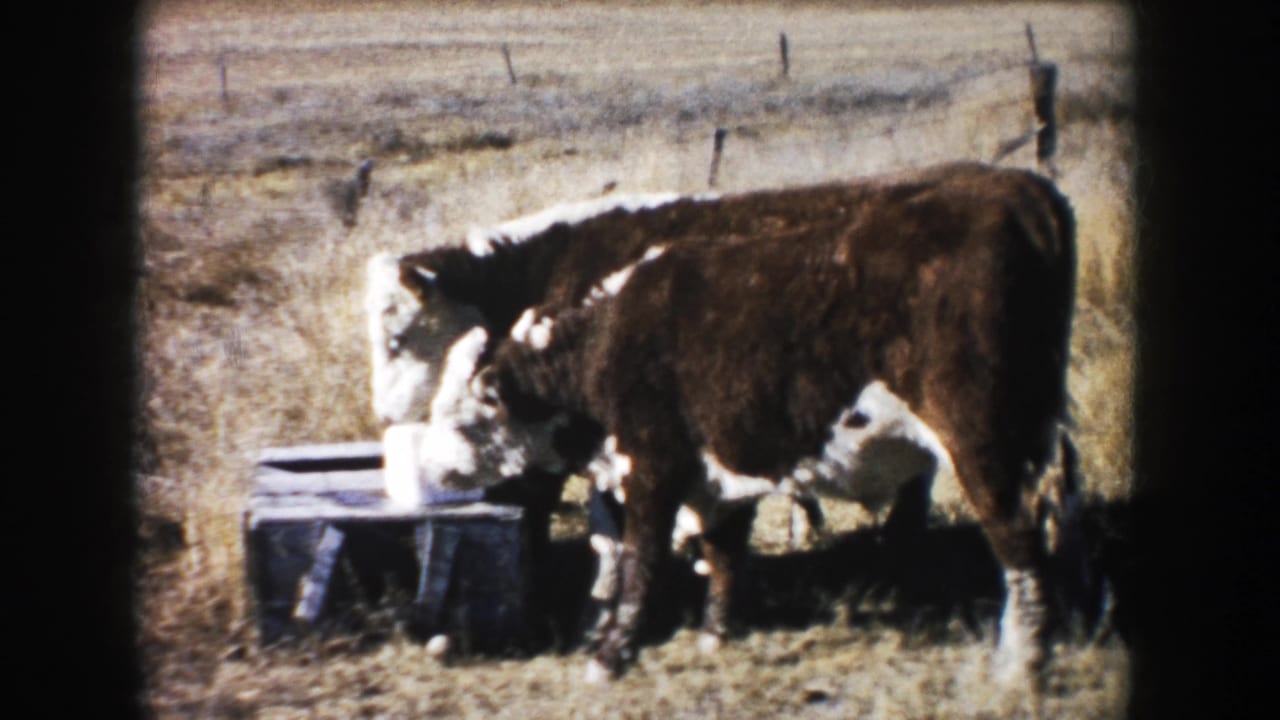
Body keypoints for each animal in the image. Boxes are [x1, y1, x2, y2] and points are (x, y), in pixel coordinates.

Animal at [400, 161, 1099, 687]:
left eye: (465, 411)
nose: (426, 466)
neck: (609, 338)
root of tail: (1026, 192)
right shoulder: (716, 476)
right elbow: (721, 553)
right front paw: (714, 634)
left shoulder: (651, 468)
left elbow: (639, 560)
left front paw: (611, 653)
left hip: (984, 447)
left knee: (1018, 541)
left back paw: (1020, 665)